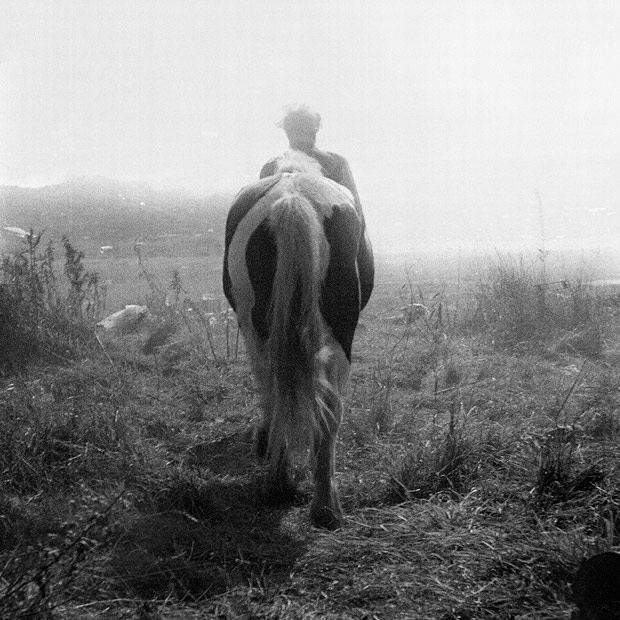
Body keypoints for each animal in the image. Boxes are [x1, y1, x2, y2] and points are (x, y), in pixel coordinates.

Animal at [223, 149, 372, 528]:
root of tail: (293, 199)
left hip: (259, 329)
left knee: (281, 391)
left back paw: (282, 483)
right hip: (339, 334)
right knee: (328, 408)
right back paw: (323, 504)